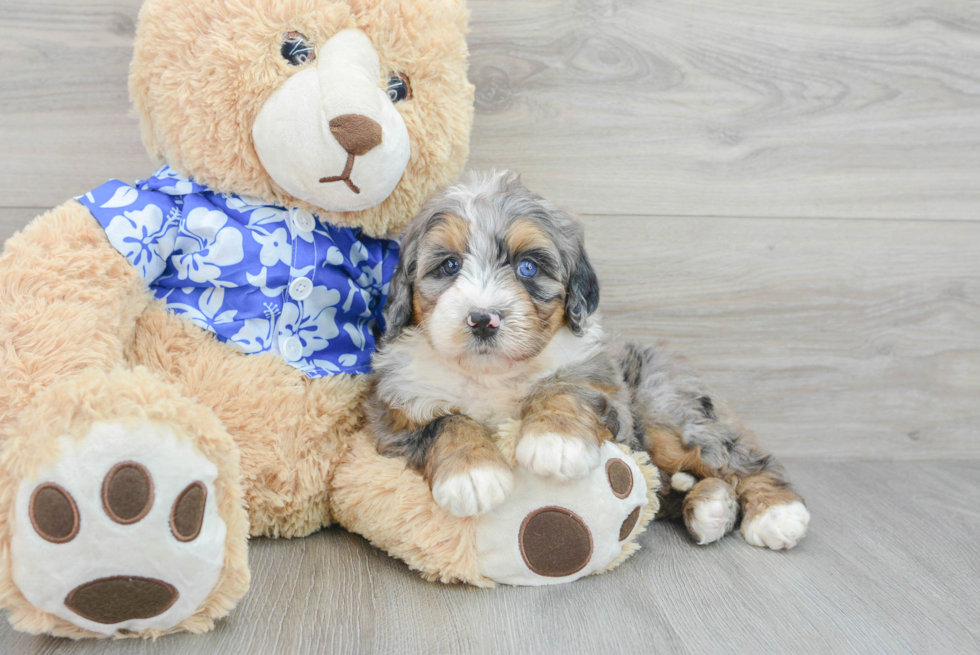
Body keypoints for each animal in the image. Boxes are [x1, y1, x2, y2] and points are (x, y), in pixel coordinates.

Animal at [368, 172, 812, 552]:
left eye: (528, 267)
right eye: (449, 265)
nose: (482, 319)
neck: (491, 374)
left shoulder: (600, 378)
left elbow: (567, 386)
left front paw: (555, 442)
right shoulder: (396, 411)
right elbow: (445, 422)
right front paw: (474, 475)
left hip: (666, 413)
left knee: (737, 458)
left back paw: (775, 513)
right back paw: (709, 507)